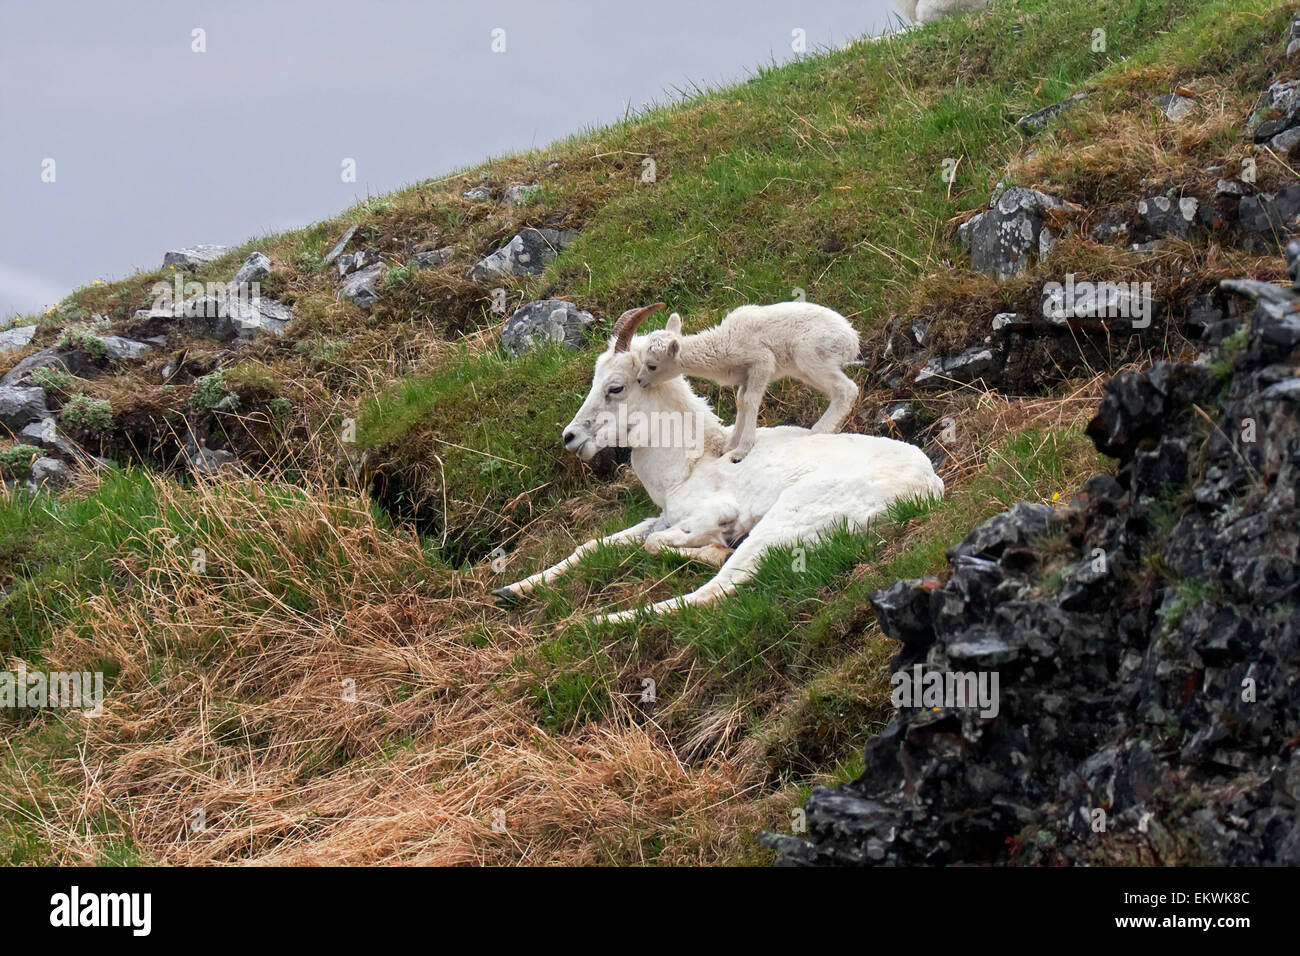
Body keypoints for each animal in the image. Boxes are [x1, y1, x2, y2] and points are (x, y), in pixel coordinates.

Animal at [626, 301, 860, 463]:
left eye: (652, 366)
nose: (640, 380)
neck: (723, 344)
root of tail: (853, 340)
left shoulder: (762, 362)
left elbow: (751, 401)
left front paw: (741, 450)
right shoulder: (744, 377)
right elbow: (741, 402)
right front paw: (729, 446)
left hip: (810, 354)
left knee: (847, 389)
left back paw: (818, 430)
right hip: (805, 368)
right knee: (839, 392)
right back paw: (833, 429)